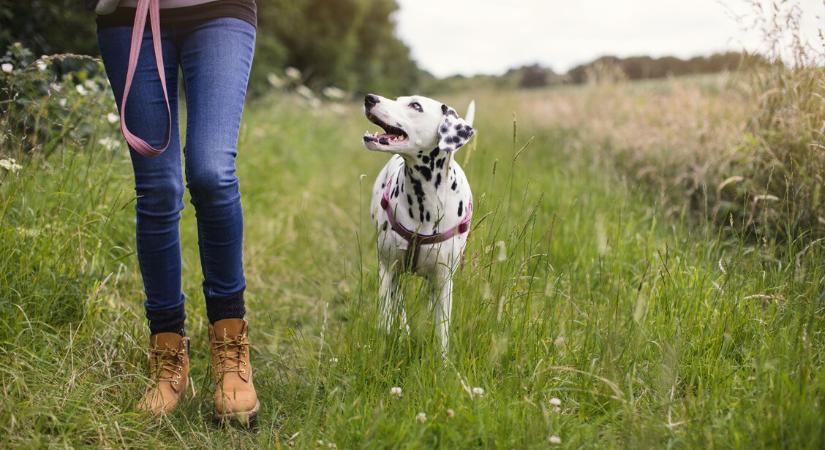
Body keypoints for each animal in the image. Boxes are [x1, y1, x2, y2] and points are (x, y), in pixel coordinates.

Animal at [362, 93, 476, 356]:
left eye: (415, 105)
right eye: (397, 99)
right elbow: (386, 317)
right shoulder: (388, 269)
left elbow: (442, 332)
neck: (424, 203)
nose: (370, 98)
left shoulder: (444, 282)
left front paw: (442, 363)